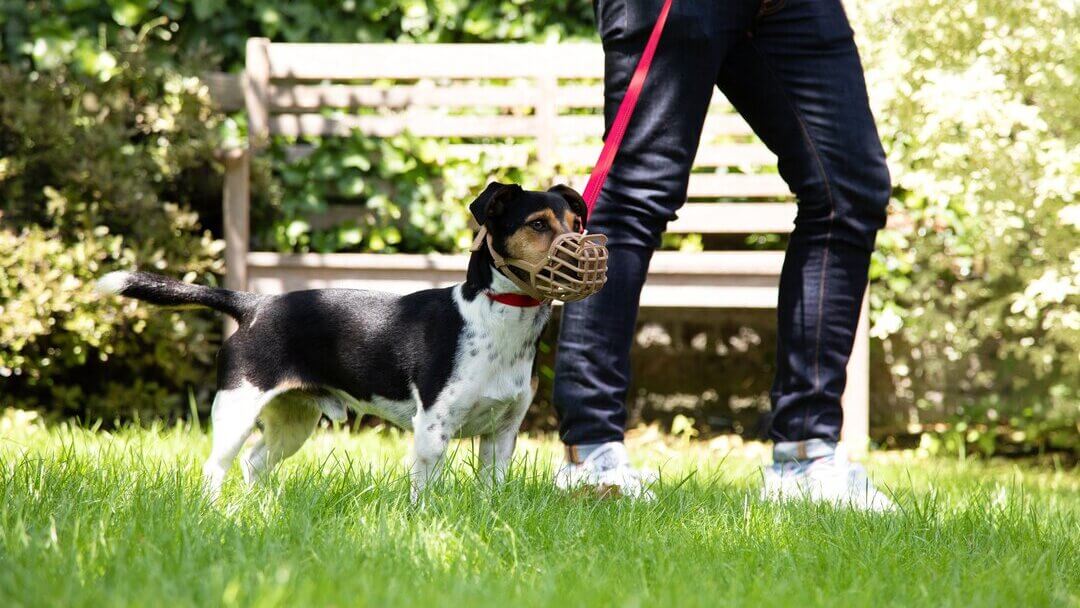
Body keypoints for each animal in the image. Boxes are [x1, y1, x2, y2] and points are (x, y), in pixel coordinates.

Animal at [96, 183, 596, 501]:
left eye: (577, 223)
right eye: (537, 224)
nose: (584, 251)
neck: (495, 318)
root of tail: (255, 304)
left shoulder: (502, 433)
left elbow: (491, 491)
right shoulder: (433, 430)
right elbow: (423, 492)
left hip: (294, 420)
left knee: (255, 462)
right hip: (237, 410)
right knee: (215, 468)